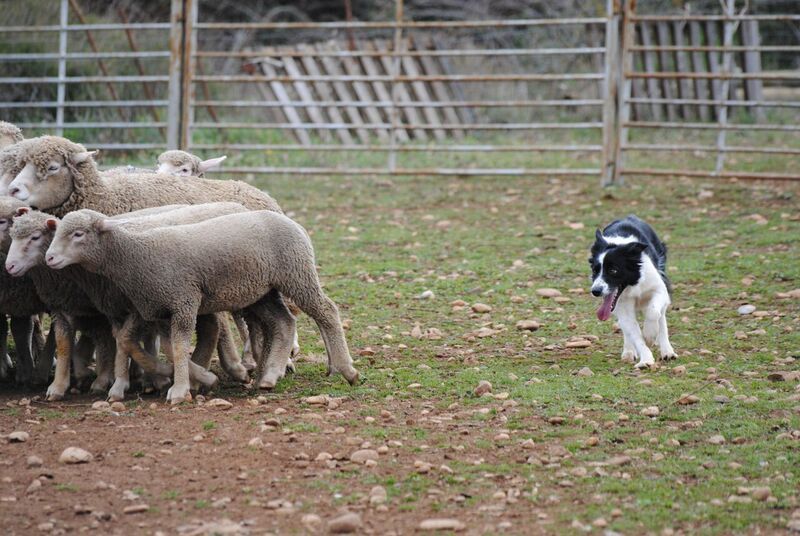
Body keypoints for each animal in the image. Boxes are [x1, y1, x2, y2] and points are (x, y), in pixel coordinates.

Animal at [43, 207, 356, 404]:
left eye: (78, 234)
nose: (49, 259)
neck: (138, 254)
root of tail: (293, 223)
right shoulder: (160, 308)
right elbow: (164, 347)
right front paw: (194, 377)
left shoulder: (184, 300)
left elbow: (180, 347)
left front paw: (180, 390)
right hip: (261, 291)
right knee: (283, 322)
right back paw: (269, 376)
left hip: (297, 273)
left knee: (326, 312)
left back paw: (346, 369)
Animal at [588, 215, 676, 368]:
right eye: (595, 270)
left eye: (613, 270)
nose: (595, 291)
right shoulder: (623, 307)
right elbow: (634, 333)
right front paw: (646, 360)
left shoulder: (659, 289)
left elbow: (653, 312)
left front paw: (650, 335)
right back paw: (628, 352)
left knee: (661, 317)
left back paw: (667, 351)